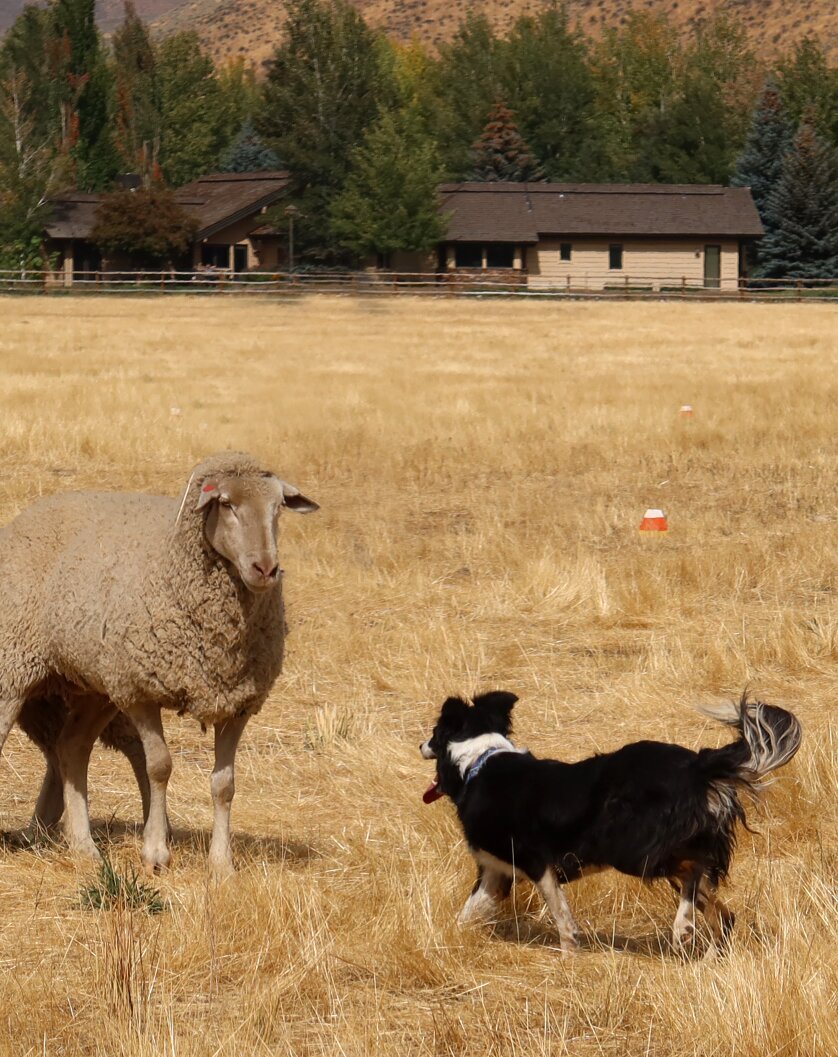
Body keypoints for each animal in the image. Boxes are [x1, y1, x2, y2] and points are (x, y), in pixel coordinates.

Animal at [0, 452, 317, 875]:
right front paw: (155, 852)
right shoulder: (140, 693)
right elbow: (159, 767)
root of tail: (28, 515)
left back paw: (83, 846)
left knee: (70, 748)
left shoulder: (237, 703)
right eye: (226, 504)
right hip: (16, 671)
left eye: (278, 506)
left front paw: (222, 864)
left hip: (94, 687)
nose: (265, 569)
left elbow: (224, 785)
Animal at [422, 689, 798, 955]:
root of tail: (697, 766)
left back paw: (682, 928)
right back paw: (704, 956)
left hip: (632, 847)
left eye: (435, 732)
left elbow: (560, 913)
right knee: (723, 913)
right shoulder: (495, 872)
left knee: (694, 874)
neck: (478, 762)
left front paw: (569, 955)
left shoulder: (535, 861)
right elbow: (467, 913)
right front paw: (448, 938)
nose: (421, 745)